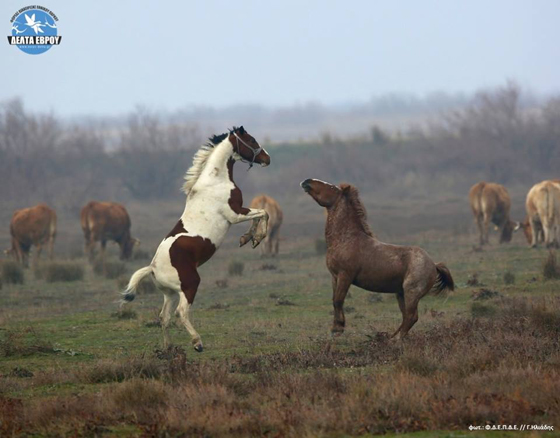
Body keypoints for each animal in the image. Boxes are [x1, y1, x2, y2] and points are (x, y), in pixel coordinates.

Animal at [123, 126, 272, 352]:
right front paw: (255, 237)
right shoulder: (234, 214)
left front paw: (248, 238)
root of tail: (153, 268)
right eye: (251, 140)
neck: (215, 180)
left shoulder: (237, 213)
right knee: (181, 313)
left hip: (170, 293)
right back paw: (197, 343)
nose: (267, 158)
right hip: (190, 285)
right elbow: (262, 213)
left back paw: (168, 349)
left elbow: (259, 215)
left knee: (164, 317)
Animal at [300, 178, 452, 338]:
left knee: (411, 316)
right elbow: (335, 300)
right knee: (406, 316)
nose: (306, 181)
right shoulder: (335, 276)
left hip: (411, 292)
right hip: (400, 294)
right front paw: (336, 327)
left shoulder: (345, 276)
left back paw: (396, 339)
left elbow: (338, 300)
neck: (346, 239)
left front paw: (338, 329)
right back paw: (392, 337)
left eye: (331, 188)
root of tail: (434, 264)